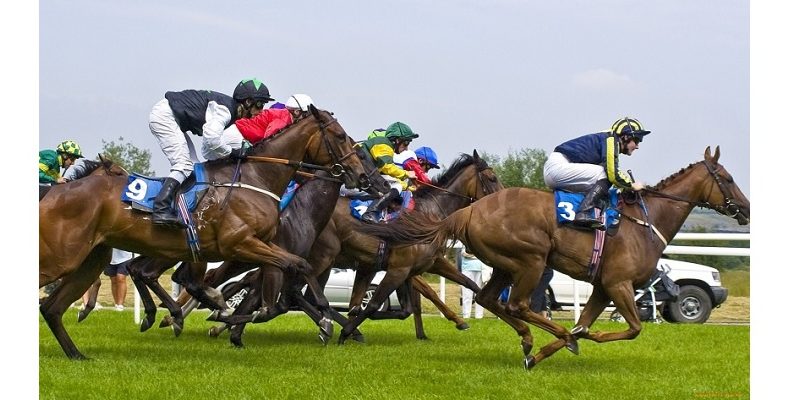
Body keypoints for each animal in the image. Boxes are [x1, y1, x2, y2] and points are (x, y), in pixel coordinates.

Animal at [39, 105, 390, 360]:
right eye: (342, 137)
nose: (367, 179)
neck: (258, 176)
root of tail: (57, 190)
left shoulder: (260, 249)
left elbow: (289, 279)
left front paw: (324, 320)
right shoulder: (241, 245)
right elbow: (278, 287)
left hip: (96, 258)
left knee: (56, 305)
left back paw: (82, 351)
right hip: (64, 257)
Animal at [358, 147, 748, 368]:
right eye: (727, 178)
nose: (745, 209)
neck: (644, 222)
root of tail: (468, 211)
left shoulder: (603, 287)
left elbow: (586, 324)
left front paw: (546, 352)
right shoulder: (618, 284)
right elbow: (631, 328)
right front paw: (577, 338)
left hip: (504, 264)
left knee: (489, 298)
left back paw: (530, 340)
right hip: (532, 260)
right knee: (515, 304)